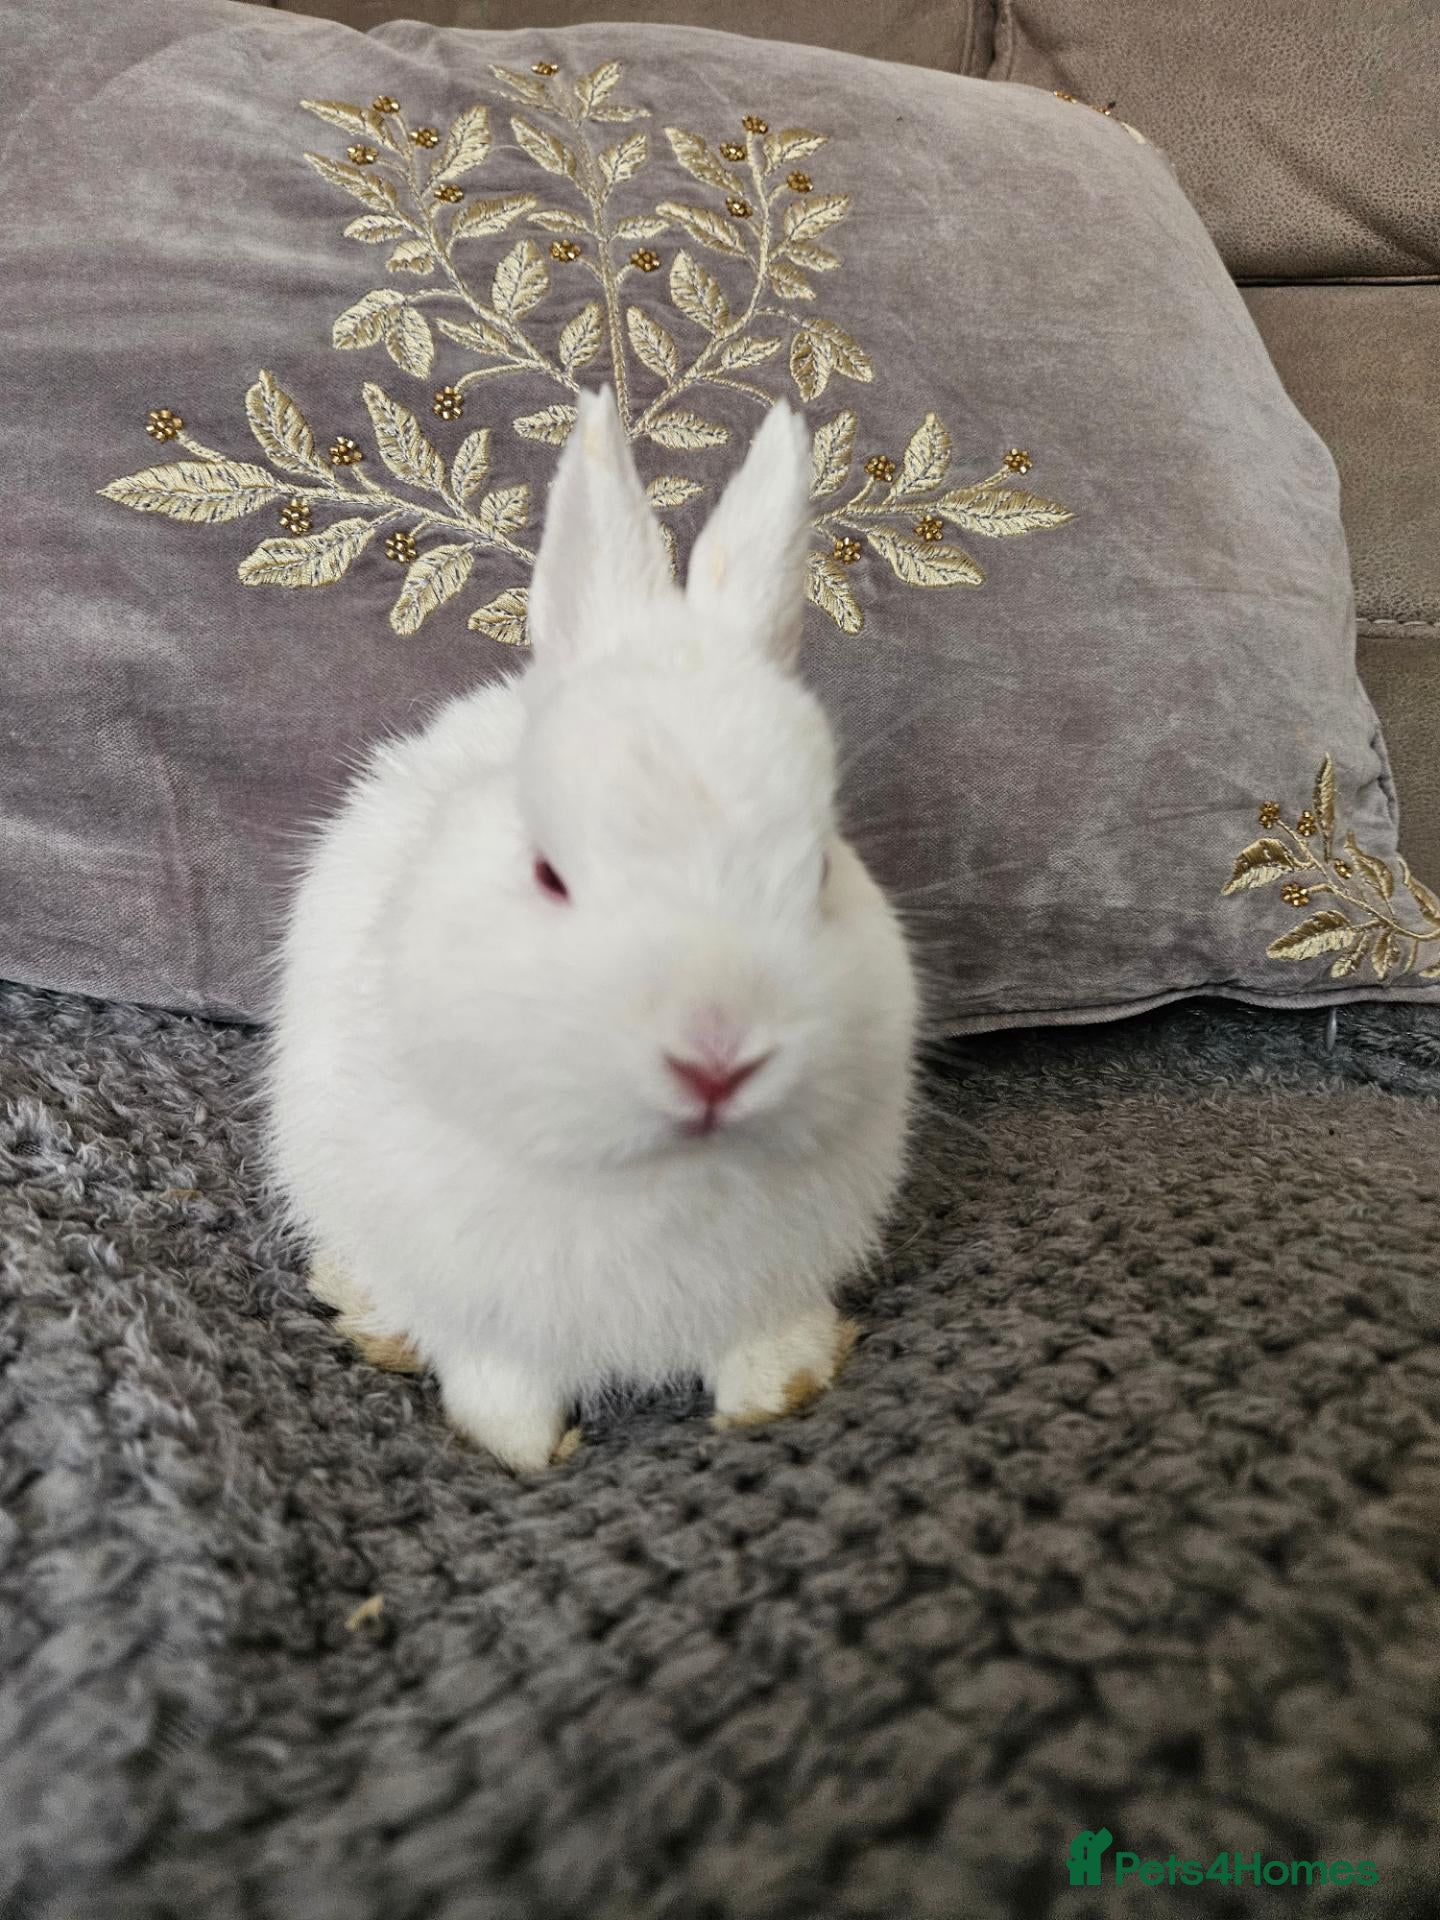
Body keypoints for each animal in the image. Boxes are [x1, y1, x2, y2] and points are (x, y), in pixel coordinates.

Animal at [264, 386, 918, 1471]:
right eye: (548, 874)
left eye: (821, 866)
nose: (715, 1057)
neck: (653, 1175)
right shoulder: (485, 1310)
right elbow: (502, 1392)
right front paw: (522, 1455)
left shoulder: (777, 1280)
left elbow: (760, 1348)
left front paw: (778, 1395)